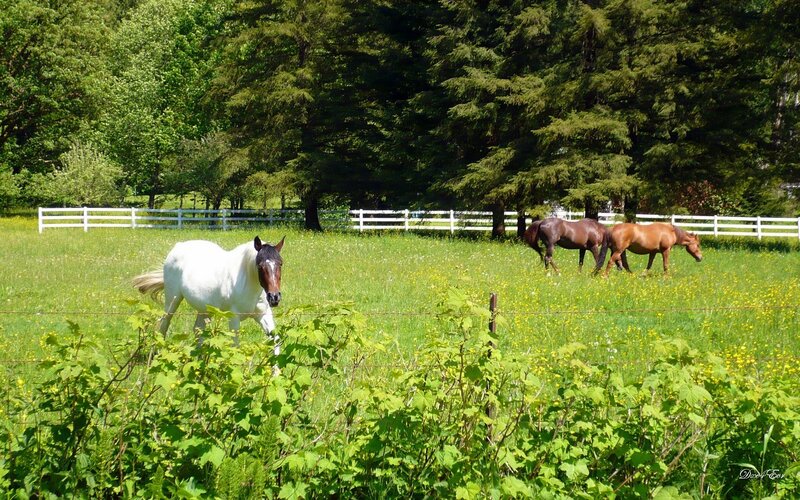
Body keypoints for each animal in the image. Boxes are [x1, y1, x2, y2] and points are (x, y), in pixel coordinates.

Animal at [132, 236, 284, 352]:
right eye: (260, 266)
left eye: (280, 263)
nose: (274, 297)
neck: (248, 283)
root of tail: (178, 246)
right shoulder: (234, 318)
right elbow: (235, 346)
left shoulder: (263, 314)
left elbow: (275, 339)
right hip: (172, 301)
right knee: (164, 325)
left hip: (204, 309)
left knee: (197, 330)